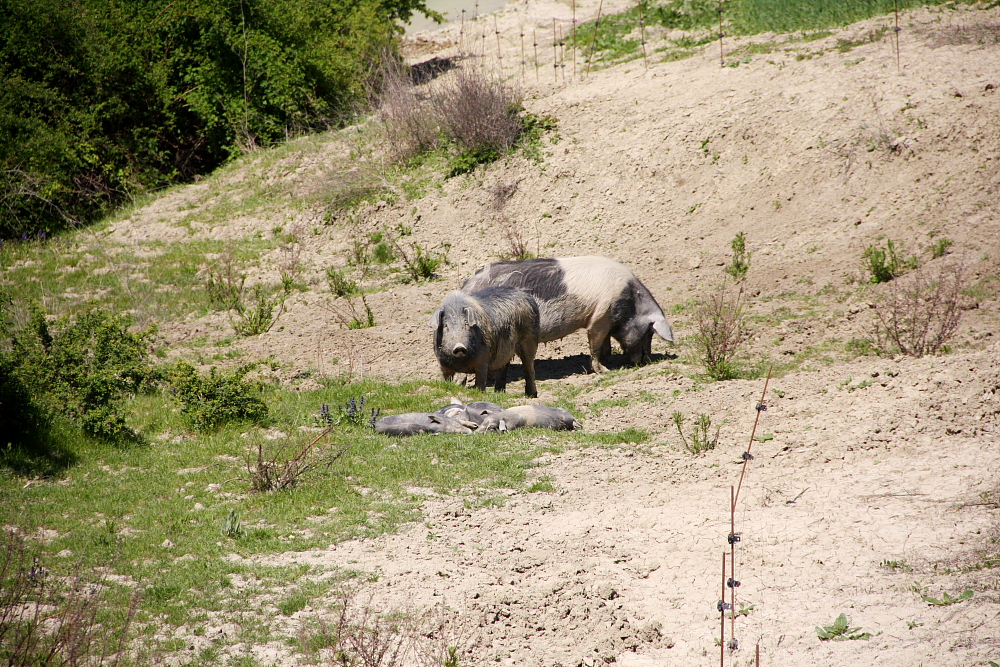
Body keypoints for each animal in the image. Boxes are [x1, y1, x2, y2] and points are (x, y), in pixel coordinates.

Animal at [460, 256, 672, 374]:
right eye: (650, 332)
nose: (645, 361)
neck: (628, 300)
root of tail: (467, 285)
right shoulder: (600, 317)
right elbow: (595, 345)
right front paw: (603, 370)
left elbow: (605, 345)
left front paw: (608, 360)